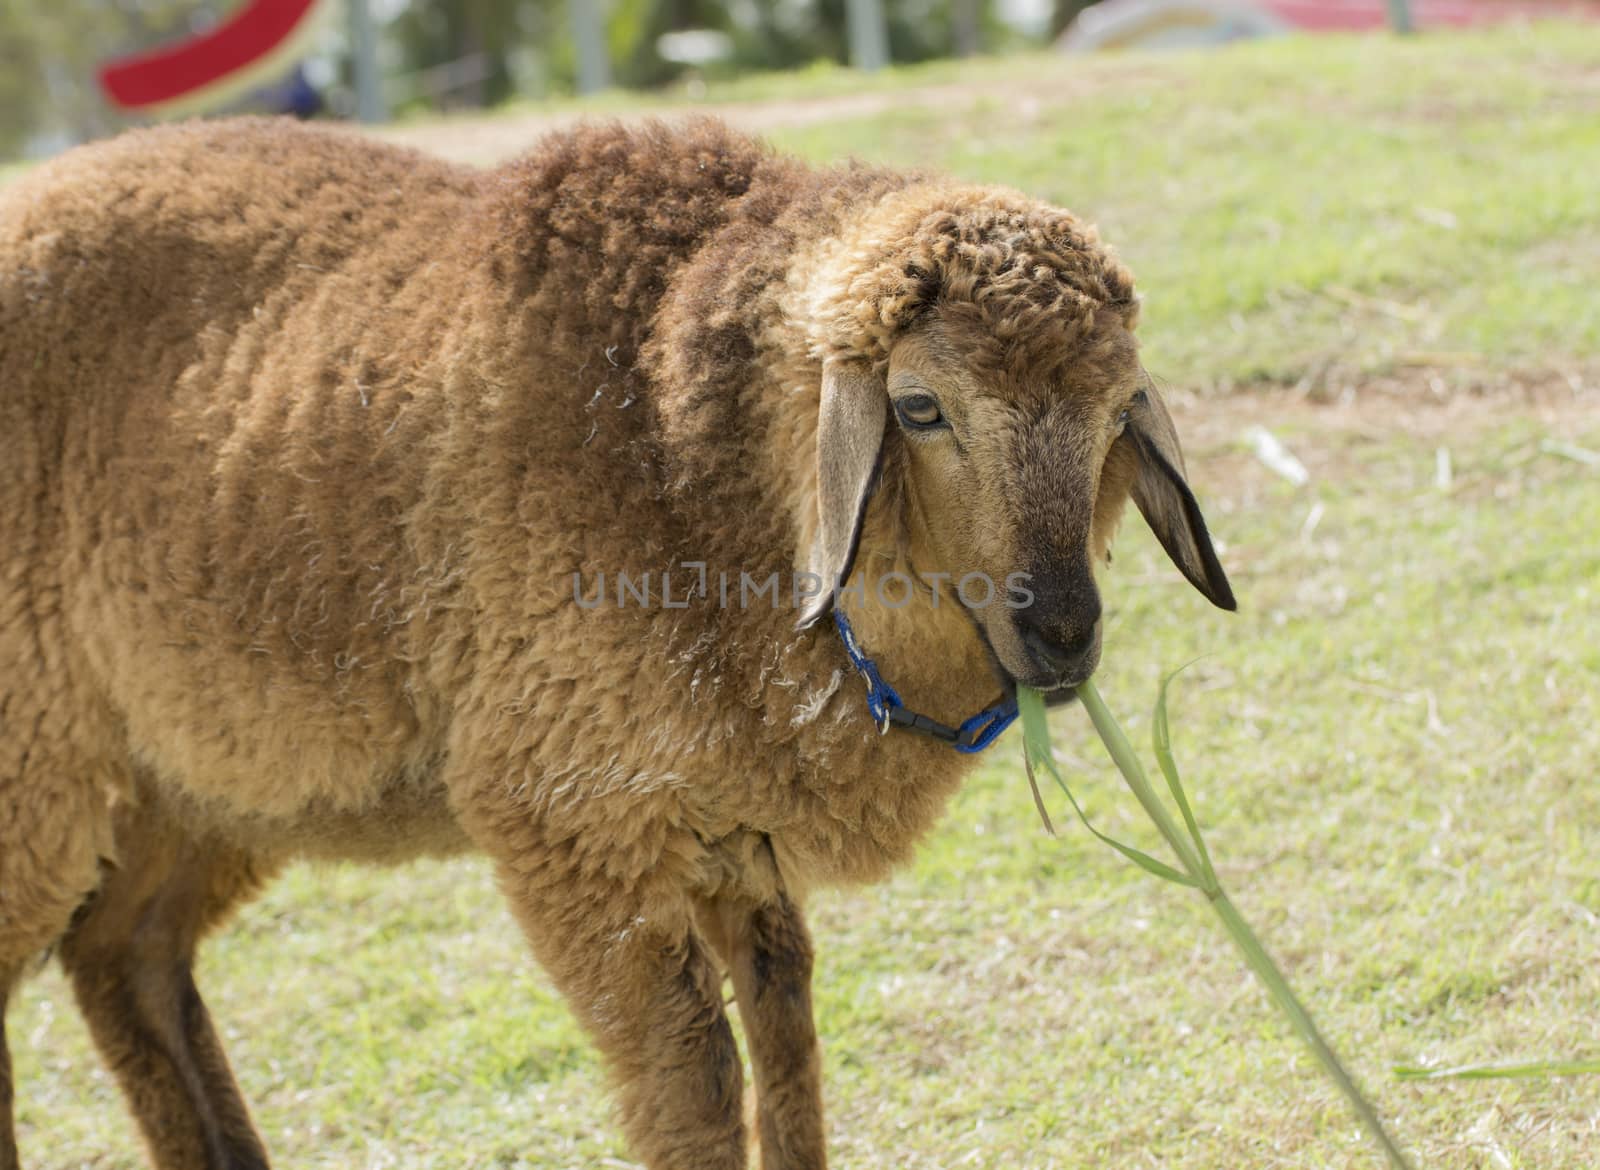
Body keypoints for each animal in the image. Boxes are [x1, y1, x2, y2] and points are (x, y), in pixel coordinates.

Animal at [0, 116, 1235, 1170]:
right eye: (920, 406)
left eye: (1116, 411)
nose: (1061, 631)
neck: (675, 443)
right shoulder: (570, 818)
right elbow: (698, 1086)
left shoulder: (732, 827)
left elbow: (787, 1050)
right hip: (40, 764)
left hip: (187, 775)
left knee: (124, 956)